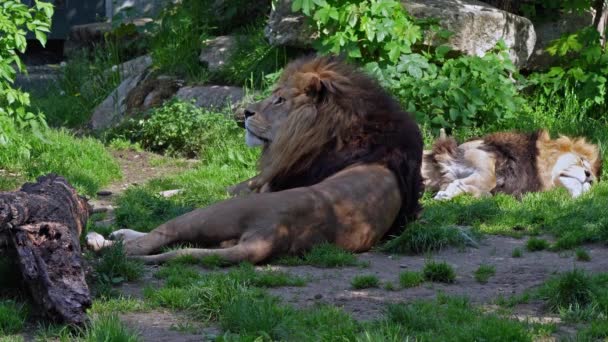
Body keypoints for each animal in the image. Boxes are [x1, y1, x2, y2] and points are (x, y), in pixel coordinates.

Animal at [86, 55, 422, 264]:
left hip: (212, 213)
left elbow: (203, 190)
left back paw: (101, 239)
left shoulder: (264, 184)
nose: (246, 112)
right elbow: (201, 186)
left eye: (279, 100)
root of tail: (272, 236)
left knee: (149, 240)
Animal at [420, 130, 600, 200]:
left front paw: (448, 192)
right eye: (581, 161)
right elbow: (489, 178)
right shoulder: (481, 151)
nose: (590, 178)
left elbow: (484, 193)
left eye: (595, 182)